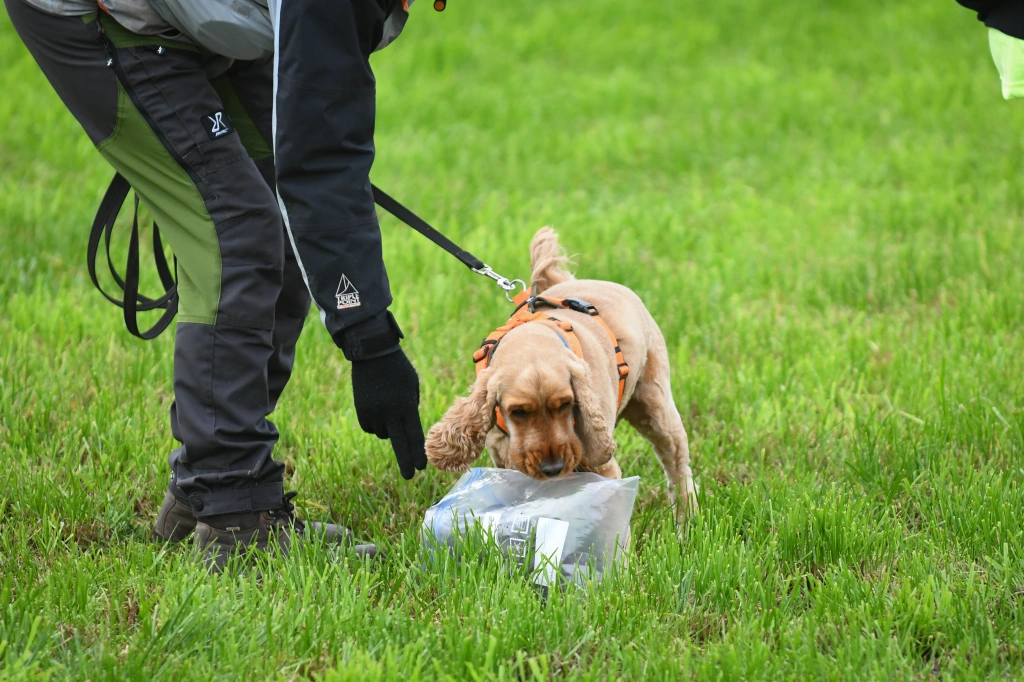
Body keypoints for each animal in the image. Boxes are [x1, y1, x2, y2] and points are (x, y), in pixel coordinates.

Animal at [423, 225, 696, 512]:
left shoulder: (602, 466)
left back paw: (686, 518)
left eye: (566, 405)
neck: (535, 336)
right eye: (518, 412)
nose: (552, 468)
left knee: (677, 465)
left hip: (657, 404)